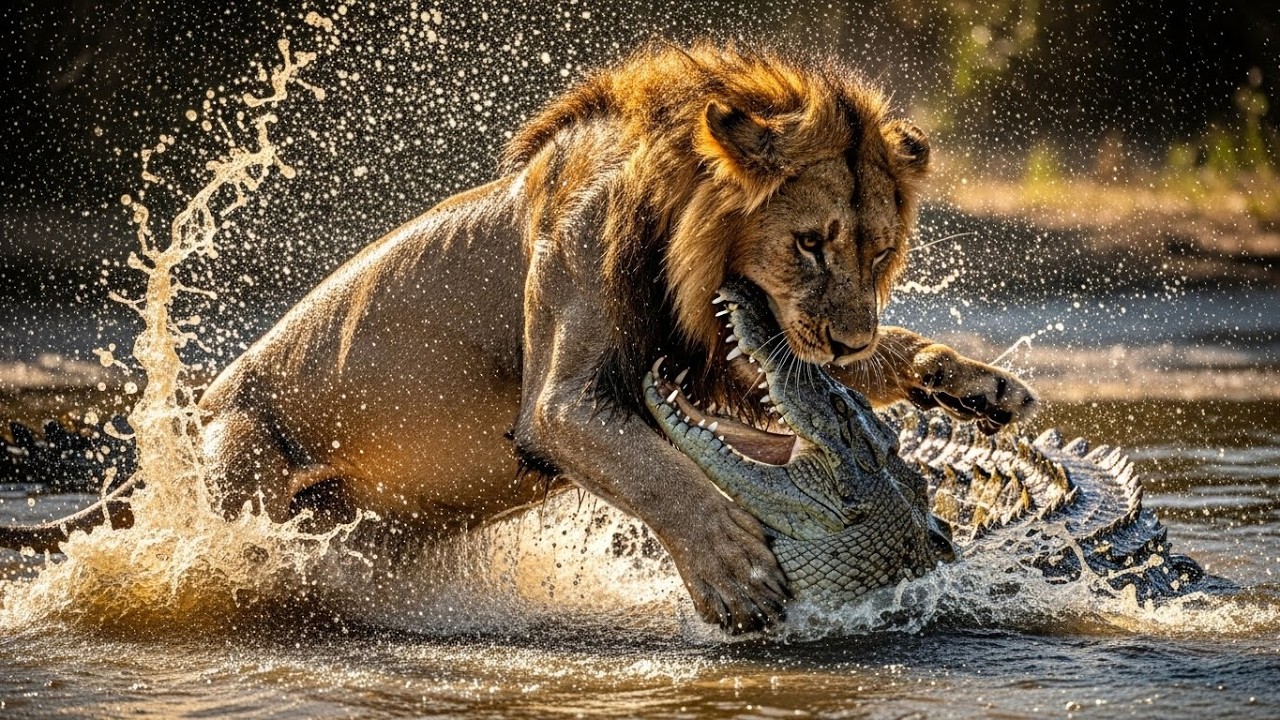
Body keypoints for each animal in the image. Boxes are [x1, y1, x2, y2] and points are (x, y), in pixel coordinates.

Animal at [4, 43, 1036, 633]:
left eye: (881, 250)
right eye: (810, 242)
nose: (847, 344)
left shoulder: (728, 357)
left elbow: (867, 364)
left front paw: (981, 385)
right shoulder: (565, 397)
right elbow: (665, 476)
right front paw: (733, 572)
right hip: (238, 449)